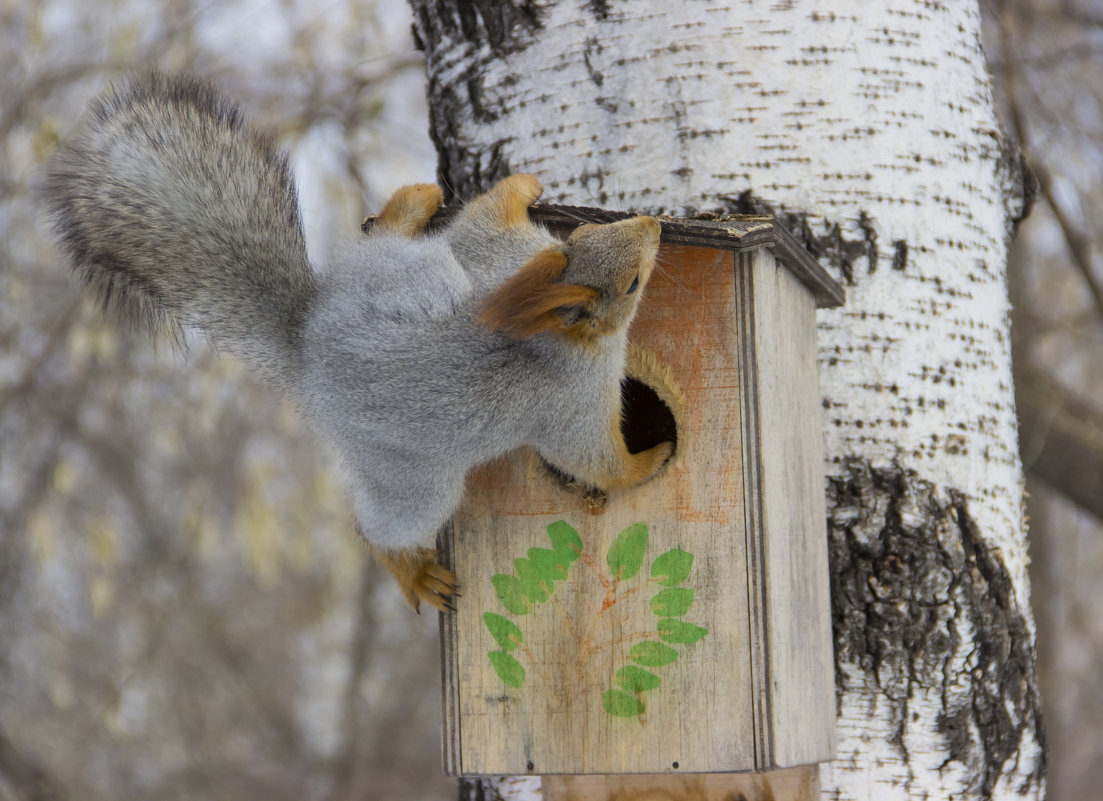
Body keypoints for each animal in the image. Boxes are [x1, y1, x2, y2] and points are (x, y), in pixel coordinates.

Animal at [43, 73, 670, 613]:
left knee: (390, 241)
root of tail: (308, 350)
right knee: (375, 531)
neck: (551, 330)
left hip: (407, 271)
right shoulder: (573, 402)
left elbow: (482, 220)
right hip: (415, 483)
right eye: (632, 283)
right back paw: (410, 571)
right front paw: (654, 458)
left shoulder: (504, 257)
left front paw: (521, 184)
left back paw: (413, 202)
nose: (656, 225)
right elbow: (598, 463)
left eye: (586, 230)